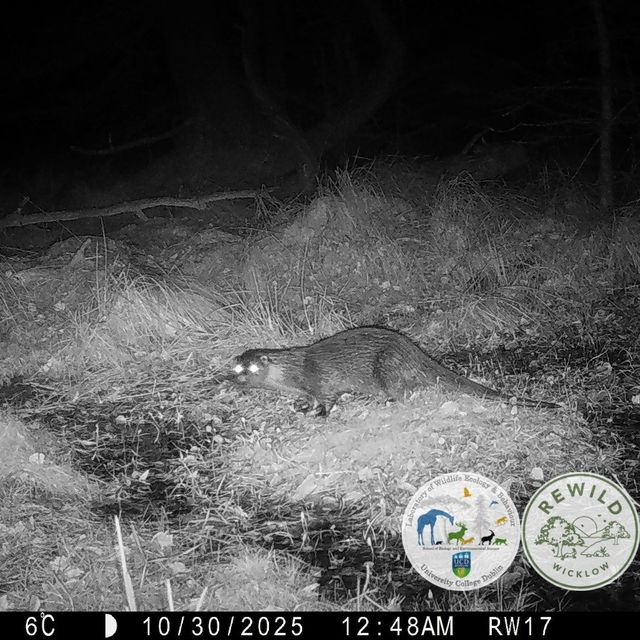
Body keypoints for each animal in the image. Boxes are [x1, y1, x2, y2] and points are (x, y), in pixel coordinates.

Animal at [232, 326, 560, 416]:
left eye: (249, 369)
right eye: (235, 366)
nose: (234, 380)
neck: (295, 372)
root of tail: (412, 350)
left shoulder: (321, 381)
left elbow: (326, 400)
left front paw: (317, 414)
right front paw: (300, 406)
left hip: (387, 366)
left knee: (403, 391)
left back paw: (387, 401)